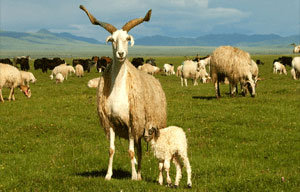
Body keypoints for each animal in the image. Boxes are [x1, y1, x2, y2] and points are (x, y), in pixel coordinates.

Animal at [79, 5, 168, 181]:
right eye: (112, 40)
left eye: (127, 39)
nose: (121, 54)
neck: (119, 90)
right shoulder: (112, 123)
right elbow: (112, 150)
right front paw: (108, 175)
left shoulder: (131, 123)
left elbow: (130, 151)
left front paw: (132, 176)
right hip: (141, 129)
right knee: (140, 151)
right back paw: (139, 174)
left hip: (151, 126)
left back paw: (153, 177)